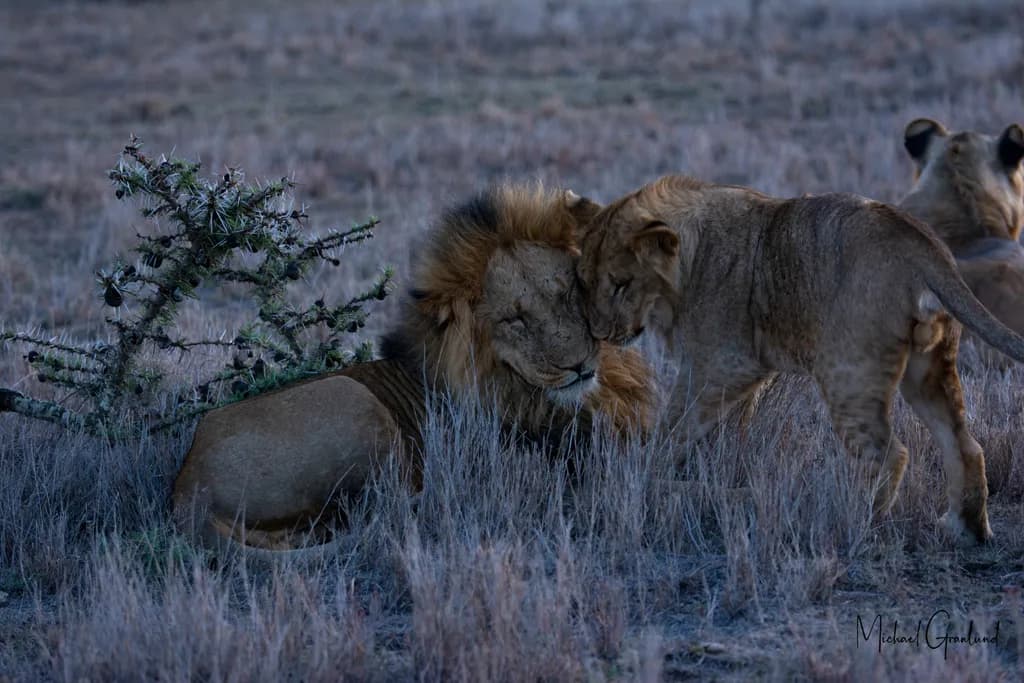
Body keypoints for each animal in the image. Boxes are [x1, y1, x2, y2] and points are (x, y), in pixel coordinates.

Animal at [172, 184, 654, 558]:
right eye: (514, 319)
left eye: (568, 294)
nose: (579, 365)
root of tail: (187, 488)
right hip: (355, 401)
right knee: (377, 505)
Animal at [575, 174, 1024, 544]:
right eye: (586, 281)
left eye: (620, 284)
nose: (599, 333)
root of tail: (922, 243)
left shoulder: (725, 364)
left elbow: (677, 423)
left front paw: (649, 467)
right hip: (928, 368)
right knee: (965, 444)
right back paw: (966, 530)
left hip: (847, 372)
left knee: (889, 454)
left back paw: (853, 522)